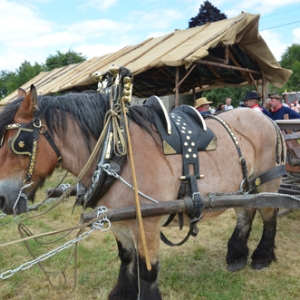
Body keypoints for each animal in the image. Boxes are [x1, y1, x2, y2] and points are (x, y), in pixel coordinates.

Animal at [0, 83, 286, 298]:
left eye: (19, 143)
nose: (2, 198)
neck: (118, 156)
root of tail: (264, 117)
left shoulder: (146, 223)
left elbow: (147, 270)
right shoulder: (117, 219)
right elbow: (126, 259)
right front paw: (122, 293)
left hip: (267, 183)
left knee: (269, 216)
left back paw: (262, 256)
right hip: (243, 188)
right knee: (245, 214)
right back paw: (236, 255)